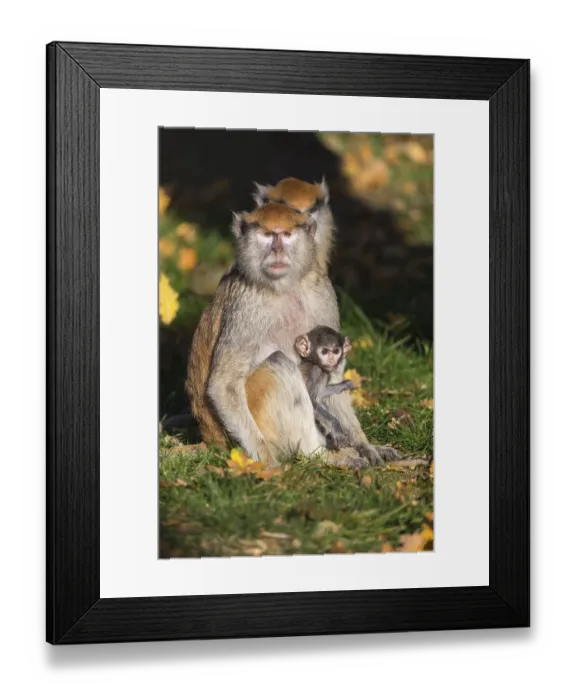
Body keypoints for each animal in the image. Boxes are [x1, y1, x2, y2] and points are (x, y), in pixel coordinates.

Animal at [186, 201, 400, 467]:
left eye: (286, 235)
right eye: (267, 235)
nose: (277, 250)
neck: (284, 286)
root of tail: (212, 440)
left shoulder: (321, 291)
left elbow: (333, 373)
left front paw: (366, 446)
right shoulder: (247, 305)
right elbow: (224, 385)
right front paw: (269, 465)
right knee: (279, 362)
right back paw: (321, 456)